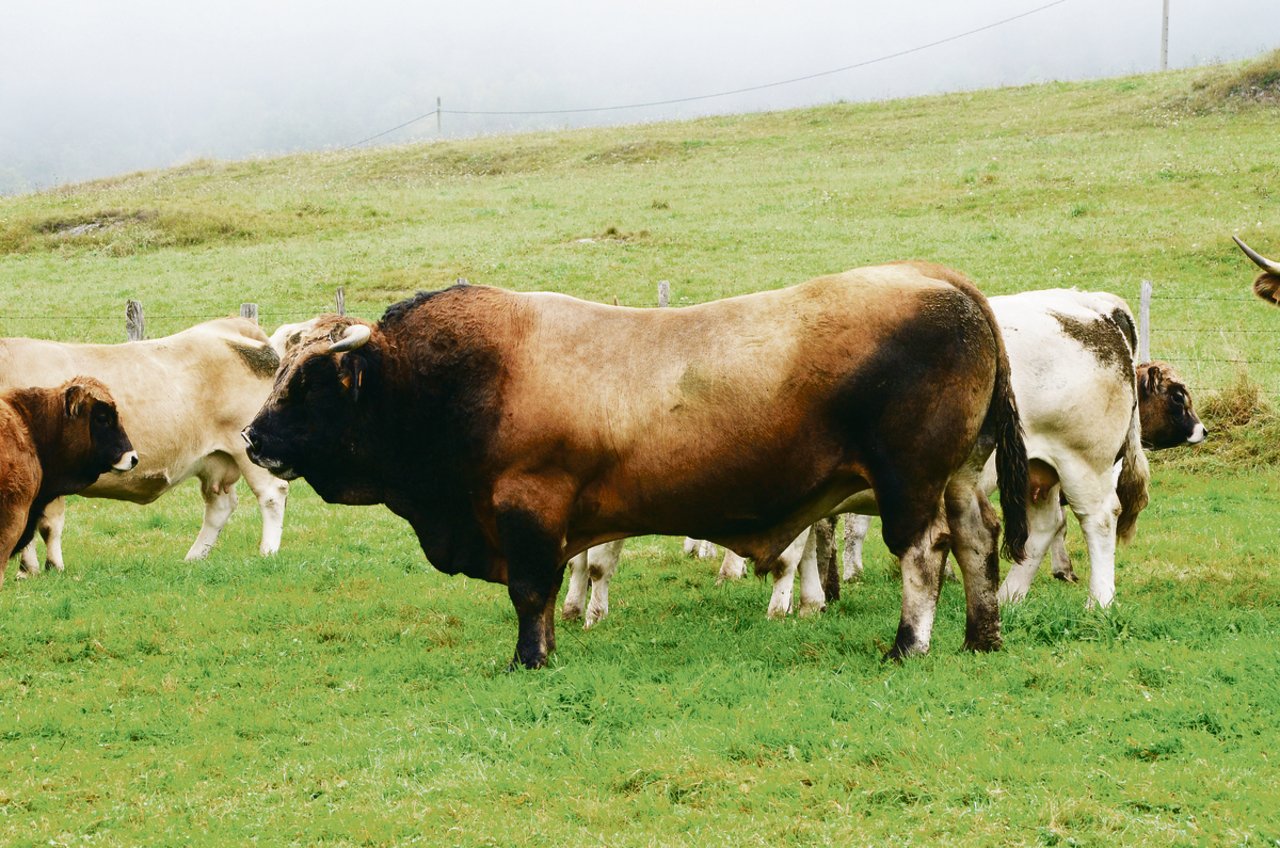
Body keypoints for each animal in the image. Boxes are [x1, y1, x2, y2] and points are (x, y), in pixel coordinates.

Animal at [244, 263, 1034, 671]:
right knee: (977, 540)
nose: (252, 437)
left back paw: (909, 645)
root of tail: (938, 279)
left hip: (910, 483)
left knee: (926, 554)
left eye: (309, 383)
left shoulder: (528, 508)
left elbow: (531, 591)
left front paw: (530, 659)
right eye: (277, 371)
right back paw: (981, 637)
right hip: (958, 477)